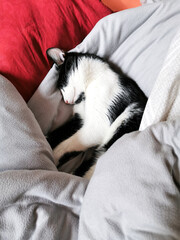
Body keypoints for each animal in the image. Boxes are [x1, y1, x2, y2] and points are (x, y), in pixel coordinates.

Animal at [46, 47, 146, 178]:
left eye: (61, 84)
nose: (66, 102)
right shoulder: (80, 119)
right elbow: (59, 133)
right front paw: (45, 143)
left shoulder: (96, 126)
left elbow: (65, 145)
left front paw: (53, 156)